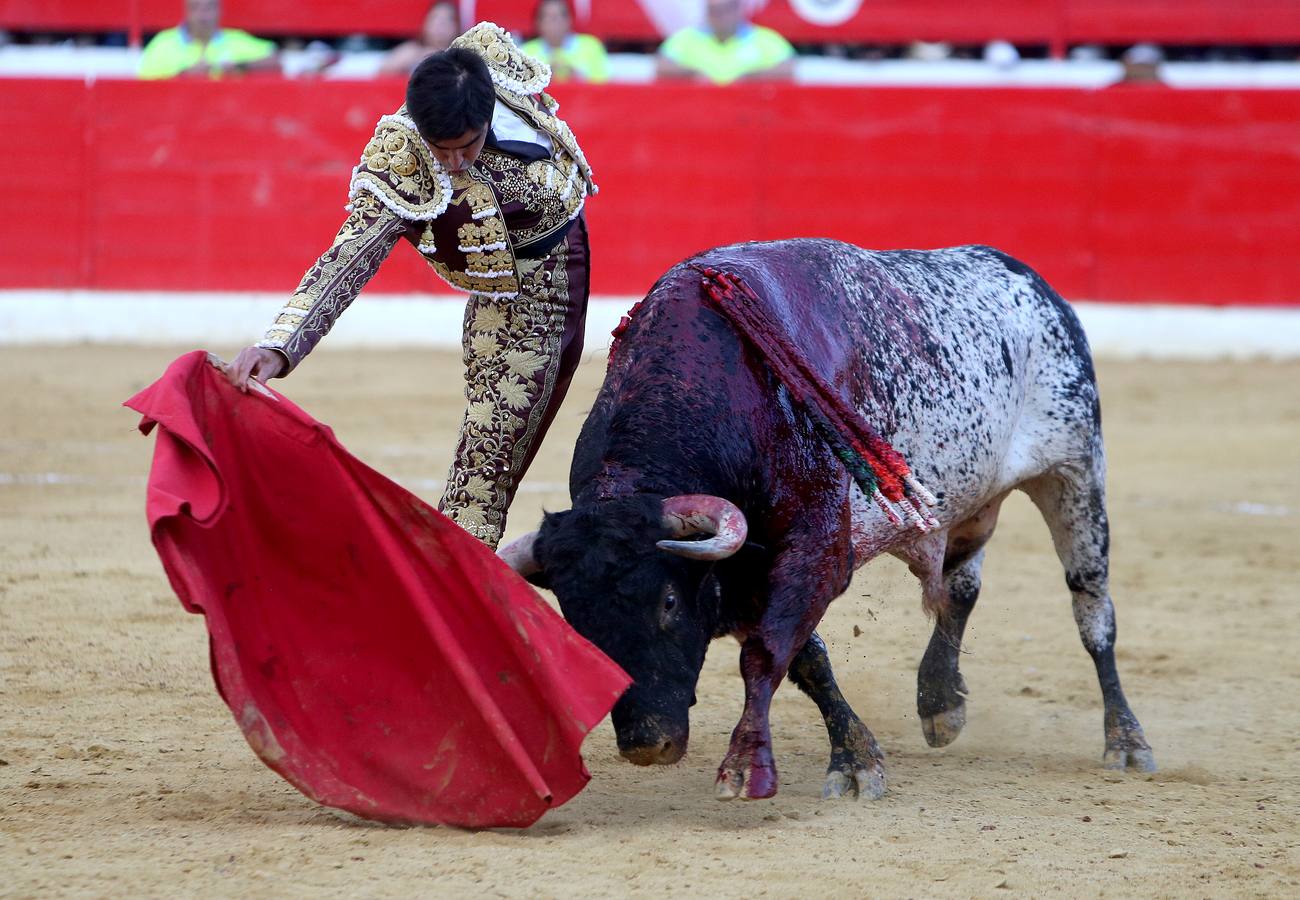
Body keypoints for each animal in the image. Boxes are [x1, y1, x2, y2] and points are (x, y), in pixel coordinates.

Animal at [499, 239, 1159, 801]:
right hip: (971, 501)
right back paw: (939, 702)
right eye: (574, 619)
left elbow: (767, 653)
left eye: (667, 601)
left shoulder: (813, 548)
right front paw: (857, 756)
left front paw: (749, 765)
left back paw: (1126, 741)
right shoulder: (750, 568)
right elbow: (806, 660)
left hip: (1075, 470)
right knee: (960, 587)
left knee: (1091, 609)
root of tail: (1030, 280)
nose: (646, 743)